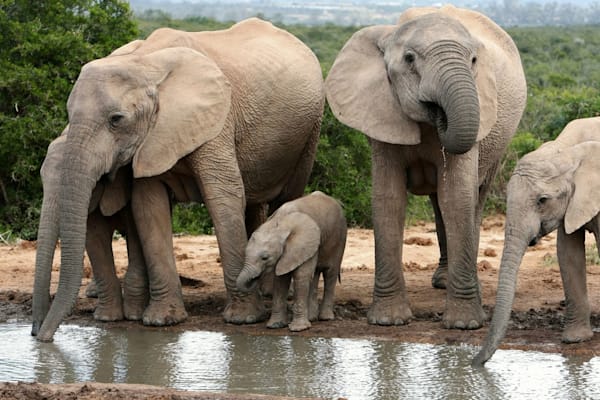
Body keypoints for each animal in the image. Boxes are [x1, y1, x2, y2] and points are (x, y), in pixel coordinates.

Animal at [35, 18, 326, 342]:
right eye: (68, 114)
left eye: (116, 120)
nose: (40, 336)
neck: (145, 63)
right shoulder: (150, 140)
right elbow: (148, 207)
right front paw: (162, 321)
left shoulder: (215, 120)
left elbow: (223, 197)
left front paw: (243, 319)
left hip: (309, 131)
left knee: (286, 197)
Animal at [236, 191, 346, 332]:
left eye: (265, 258)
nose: (254, 279)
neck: (281, 224)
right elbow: (280, 279)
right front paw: (275, 325)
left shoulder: (304, 243)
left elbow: (301, 276)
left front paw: (298, 329)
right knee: (315, 274)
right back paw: (312, 318)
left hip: (340, 237)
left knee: (330, 273)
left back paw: (325, 318)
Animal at [326, 5, 528, 328]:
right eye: (409, 59)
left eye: (473, 60)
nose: (440, 115)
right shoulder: (381, 112)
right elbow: (388, 198)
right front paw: (388, 321)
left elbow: (457, 197)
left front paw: (464, 325)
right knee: (438, 204)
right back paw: (443, 282)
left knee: (473, 199)